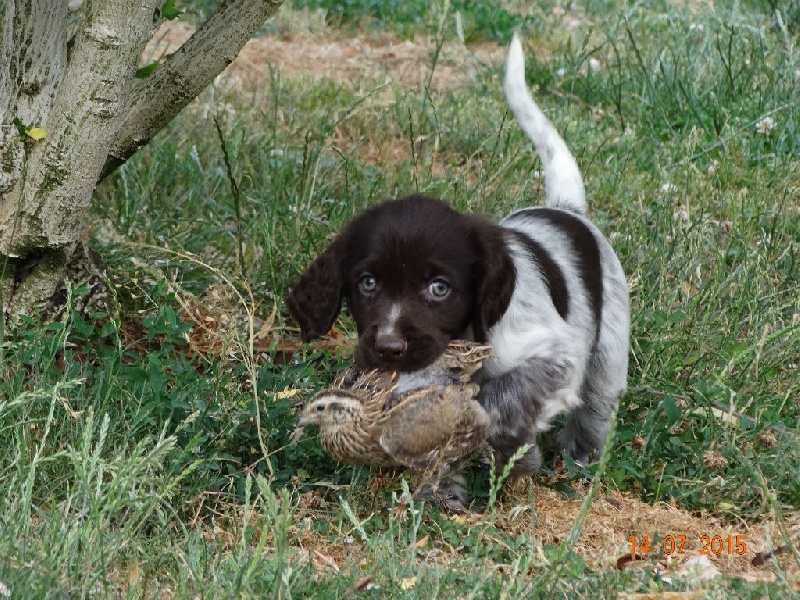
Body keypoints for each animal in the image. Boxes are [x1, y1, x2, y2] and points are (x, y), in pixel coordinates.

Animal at [288, 32, 632, 476]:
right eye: (367, 283)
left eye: (440, 288)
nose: (388, 349)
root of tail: (565, 209)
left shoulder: (555, 355)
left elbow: (501, 396)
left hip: (609, 348)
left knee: (596, 405)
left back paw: (582, 456)